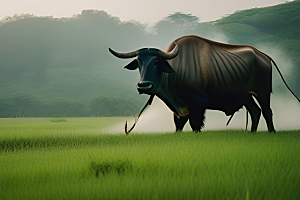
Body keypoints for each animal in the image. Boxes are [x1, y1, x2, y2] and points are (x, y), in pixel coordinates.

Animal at [109, 35, 298, 134]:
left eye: (156, 62)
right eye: (139, 63)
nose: (144, 86)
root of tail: (263, 56)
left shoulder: (198, 103)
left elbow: (195, 124)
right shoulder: (180, 108)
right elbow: (178, 125)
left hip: (263, 92)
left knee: (266, 111)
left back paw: (271, 132)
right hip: (246, 96)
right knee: (255, 111)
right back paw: (252, 133)